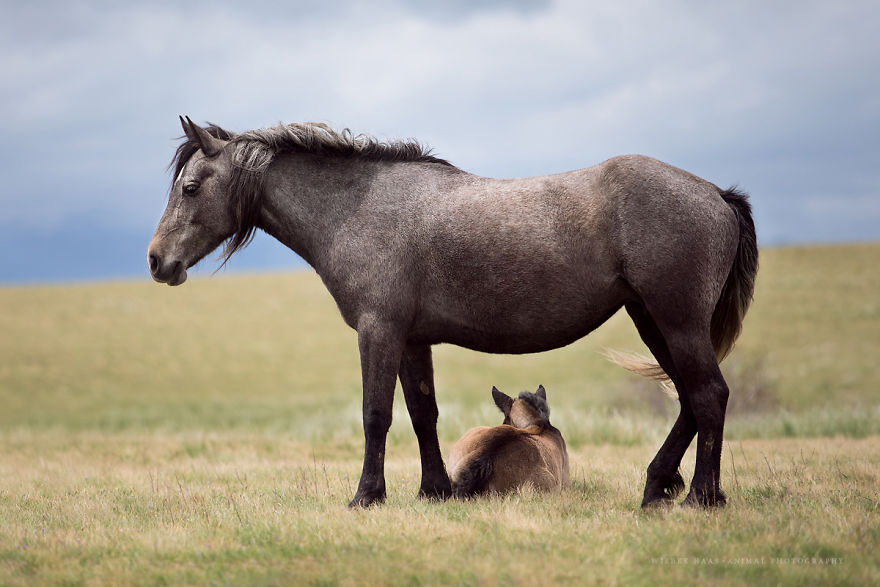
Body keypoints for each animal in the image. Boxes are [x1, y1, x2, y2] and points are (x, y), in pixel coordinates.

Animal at [148, 116, 757, 509]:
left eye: (190, 186)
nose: (157, 261)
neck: (359, 210)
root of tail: (716, 194)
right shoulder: (413, 339)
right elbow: (424, 414)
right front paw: (434, 491)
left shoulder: (379, 332)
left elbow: (376, 414)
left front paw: (367, 496)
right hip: (653, 321)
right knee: (690, 398)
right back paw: (657, 487)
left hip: (675, 321)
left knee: (708, 395)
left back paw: (702, 496)